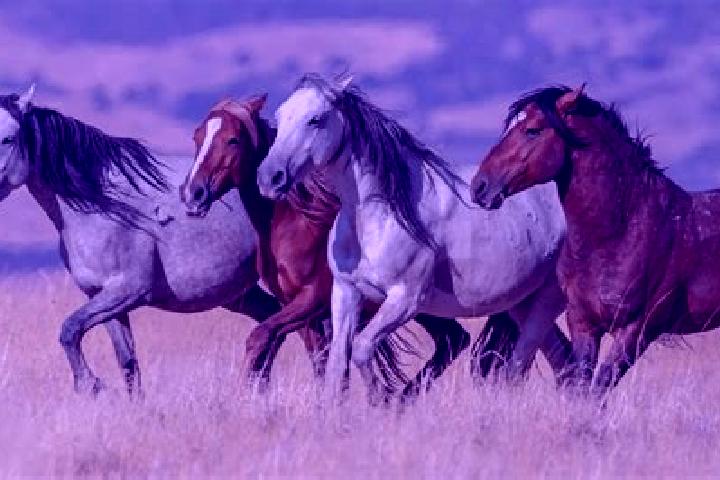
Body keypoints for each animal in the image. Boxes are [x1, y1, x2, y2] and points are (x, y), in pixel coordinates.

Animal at [0, 85, 293, 397]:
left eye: (8, 138)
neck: (102, 206)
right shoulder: (102, 298)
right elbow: (127, 362)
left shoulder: (127, 291)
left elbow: (69, 329)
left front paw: (89, 384)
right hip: (237, 294)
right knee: (271, 320)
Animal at [178, 95, 489, 398]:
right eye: (197, 137)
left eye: (233, 140)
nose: (193, 193)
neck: (296, 224)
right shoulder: (299, 308)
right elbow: (319, 360)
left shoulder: (313, 299)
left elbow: (262, 336)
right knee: (452, 339)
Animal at [255, 74, 573, 401]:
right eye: (279, 118)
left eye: (315, 119)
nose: (270, 178)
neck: (379, 217)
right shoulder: (345, 293)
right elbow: (336, 366)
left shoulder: (405, 299)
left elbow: (362, 348)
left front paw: (382, 400)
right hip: (521, 302)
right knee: (561, 357)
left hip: (547, 301)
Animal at [471, 85, 720, 396]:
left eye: (532, 130)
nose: (479, 186)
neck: (620, 233)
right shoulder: (583, 323)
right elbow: (582, 386)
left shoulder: (636, 330)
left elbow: (598, 388)